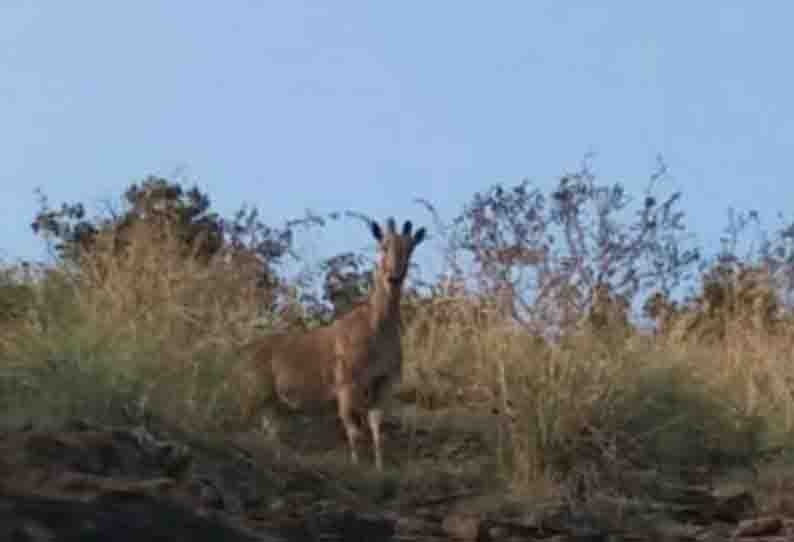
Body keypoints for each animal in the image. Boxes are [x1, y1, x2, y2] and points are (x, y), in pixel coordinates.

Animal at [252, 217, 426, 472]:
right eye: (383, 245)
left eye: (410, 248)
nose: (393, 277)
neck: (377, 330)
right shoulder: (345, 384)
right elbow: (353, 432)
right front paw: (356, 465)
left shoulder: (383, 383)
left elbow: (376, 429)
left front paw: (380, 467)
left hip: (272, 403)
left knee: (270, 430)